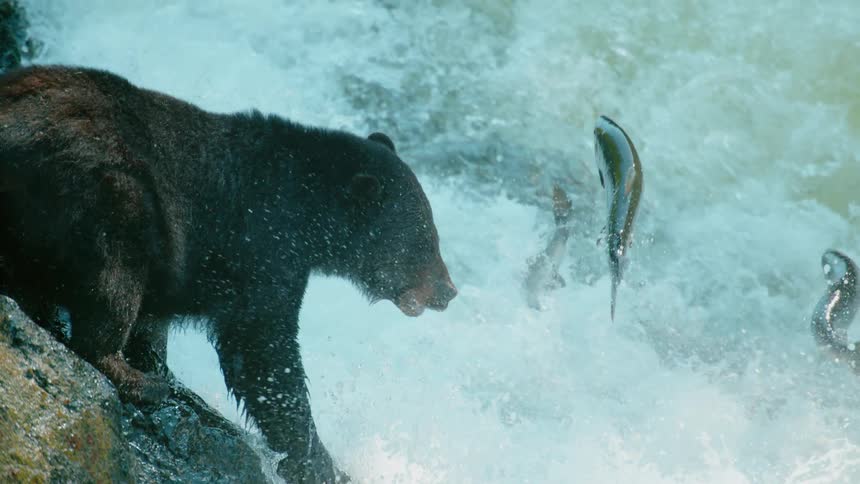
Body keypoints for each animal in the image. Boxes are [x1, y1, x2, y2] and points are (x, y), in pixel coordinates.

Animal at [0, 65, 457, 483]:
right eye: (424, 241)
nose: (449, 290)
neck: (309, 219)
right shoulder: (263, 253)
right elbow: (265, 356)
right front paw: (318, 459)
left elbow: (159, 324)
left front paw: (159, 363)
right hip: (104, 191)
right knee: (115, 275)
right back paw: (134, 378)